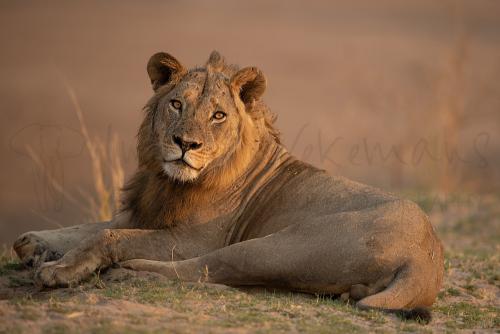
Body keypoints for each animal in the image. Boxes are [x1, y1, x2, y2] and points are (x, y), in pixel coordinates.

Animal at [11, 49, 444, 320]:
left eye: (218, 115)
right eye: (176, 104)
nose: (185, 144)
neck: (169, 182)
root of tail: (426, 258)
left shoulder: (192, 238)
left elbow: (108, 237)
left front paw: (59, 269)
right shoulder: (142, 212)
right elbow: (89, 228)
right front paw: (34, 243)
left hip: (273, 245)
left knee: (205, 270)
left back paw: (129, 273)